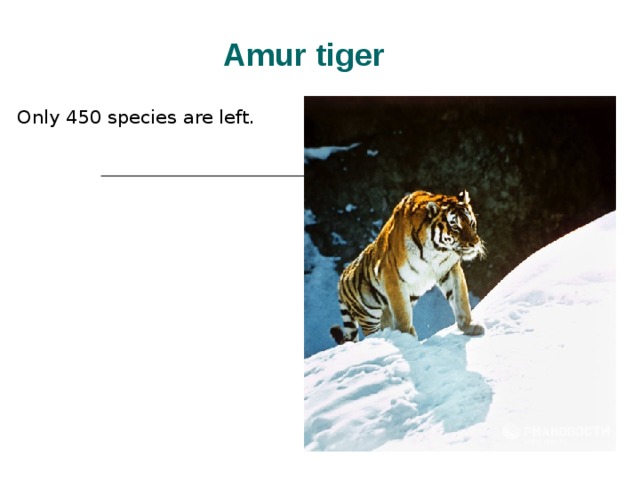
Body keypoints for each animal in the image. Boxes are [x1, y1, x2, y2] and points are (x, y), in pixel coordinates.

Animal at [330, 189, 486, 345]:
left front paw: (469, 327)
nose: (475, 243)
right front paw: (406, 338)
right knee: (372, 333)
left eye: (471, 223)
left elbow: (461, 300)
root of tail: (340, 280)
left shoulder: (449, 270)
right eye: (455, 226)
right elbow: (402, 314)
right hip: (369, 316)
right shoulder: (392, 276)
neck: (436, 251)